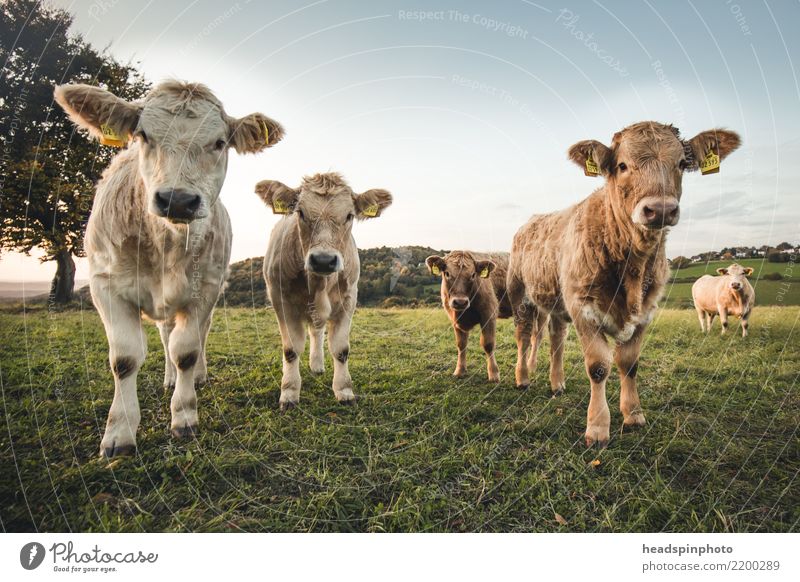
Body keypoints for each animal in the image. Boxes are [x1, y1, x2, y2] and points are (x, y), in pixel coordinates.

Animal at [54, 80, 284, 458]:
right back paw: (169, 378)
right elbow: (124, 359)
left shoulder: (204, 289)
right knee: (163, 337)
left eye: (219, 142)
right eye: (143, 135)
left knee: (193, 338)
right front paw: (118, 433)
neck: (165, 243)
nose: (177, 199)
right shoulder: (104, 286)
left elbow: (187, 351)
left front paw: (184, 417)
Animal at [255, 172, 392, 410]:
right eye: (300, 212)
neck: (319, 283)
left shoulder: (349, 299)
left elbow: (341, 349)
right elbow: (291, 349)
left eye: (349, 215)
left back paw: (317, 365)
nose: (323, 260)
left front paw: (344, 390)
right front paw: (289, 392)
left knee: (317, 331)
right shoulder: (281, 300)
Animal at [424, 251, 512, 384]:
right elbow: (461, 344)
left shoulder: (489, 314)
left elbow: (488, 344)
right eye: (447, 273)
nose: (460, 302)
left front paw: (494, 374)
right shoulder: (455, 320)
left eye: (473, 275)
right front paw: (460, 370)